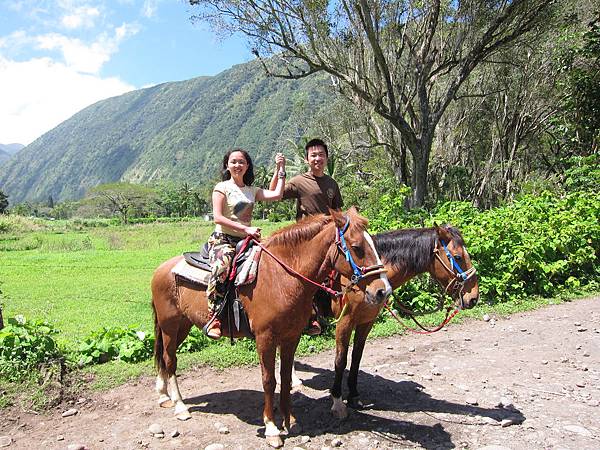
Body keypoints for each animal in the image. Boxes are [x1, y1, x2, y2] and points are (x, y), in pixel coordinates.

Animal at [152, 207, 392, 446]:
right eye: (357, 247)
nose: (383, 291)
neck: (282, 278)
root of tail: (161, 269)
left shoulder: (291, 337)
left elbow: (285, 377)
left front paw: (289, 419)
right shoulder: (265, 338)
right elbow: (269, 380)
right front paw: (272, 429)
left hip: (183, 326)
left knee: (165, 357)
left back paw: (164, 396)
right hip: (170, 326)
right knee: (170, 360)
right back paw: (180, 407)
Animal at [326, 225, 480, 418]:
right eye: (458, 257)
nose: (473, 297)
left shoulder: (366, 321)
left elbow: (356, 358)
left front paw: (354, 396)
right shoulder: (344, 323)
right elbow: (340, 360)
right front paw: (337, 402)